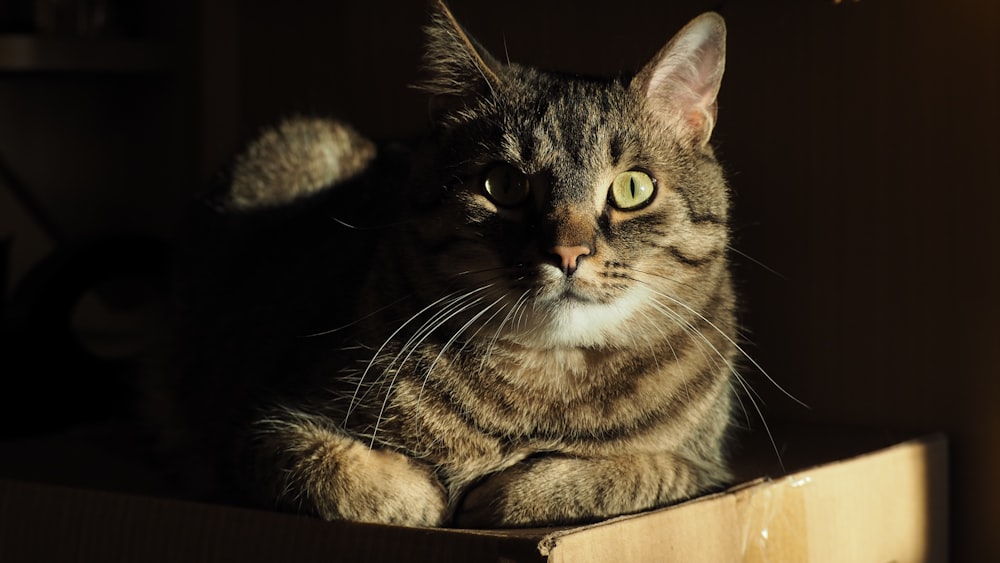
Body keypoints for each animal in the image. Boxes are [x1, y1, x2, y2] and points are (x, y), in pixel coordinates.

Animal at [170, 0, 736, 528]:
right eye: (504, 185)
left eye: (633, 188)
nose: (567, 253)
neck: (542, 387)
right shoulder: (255, 433)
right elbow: (337, 470)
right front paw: (427, 495)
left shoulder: (706, 471)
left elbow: (628, 471)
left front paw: (503, 492)